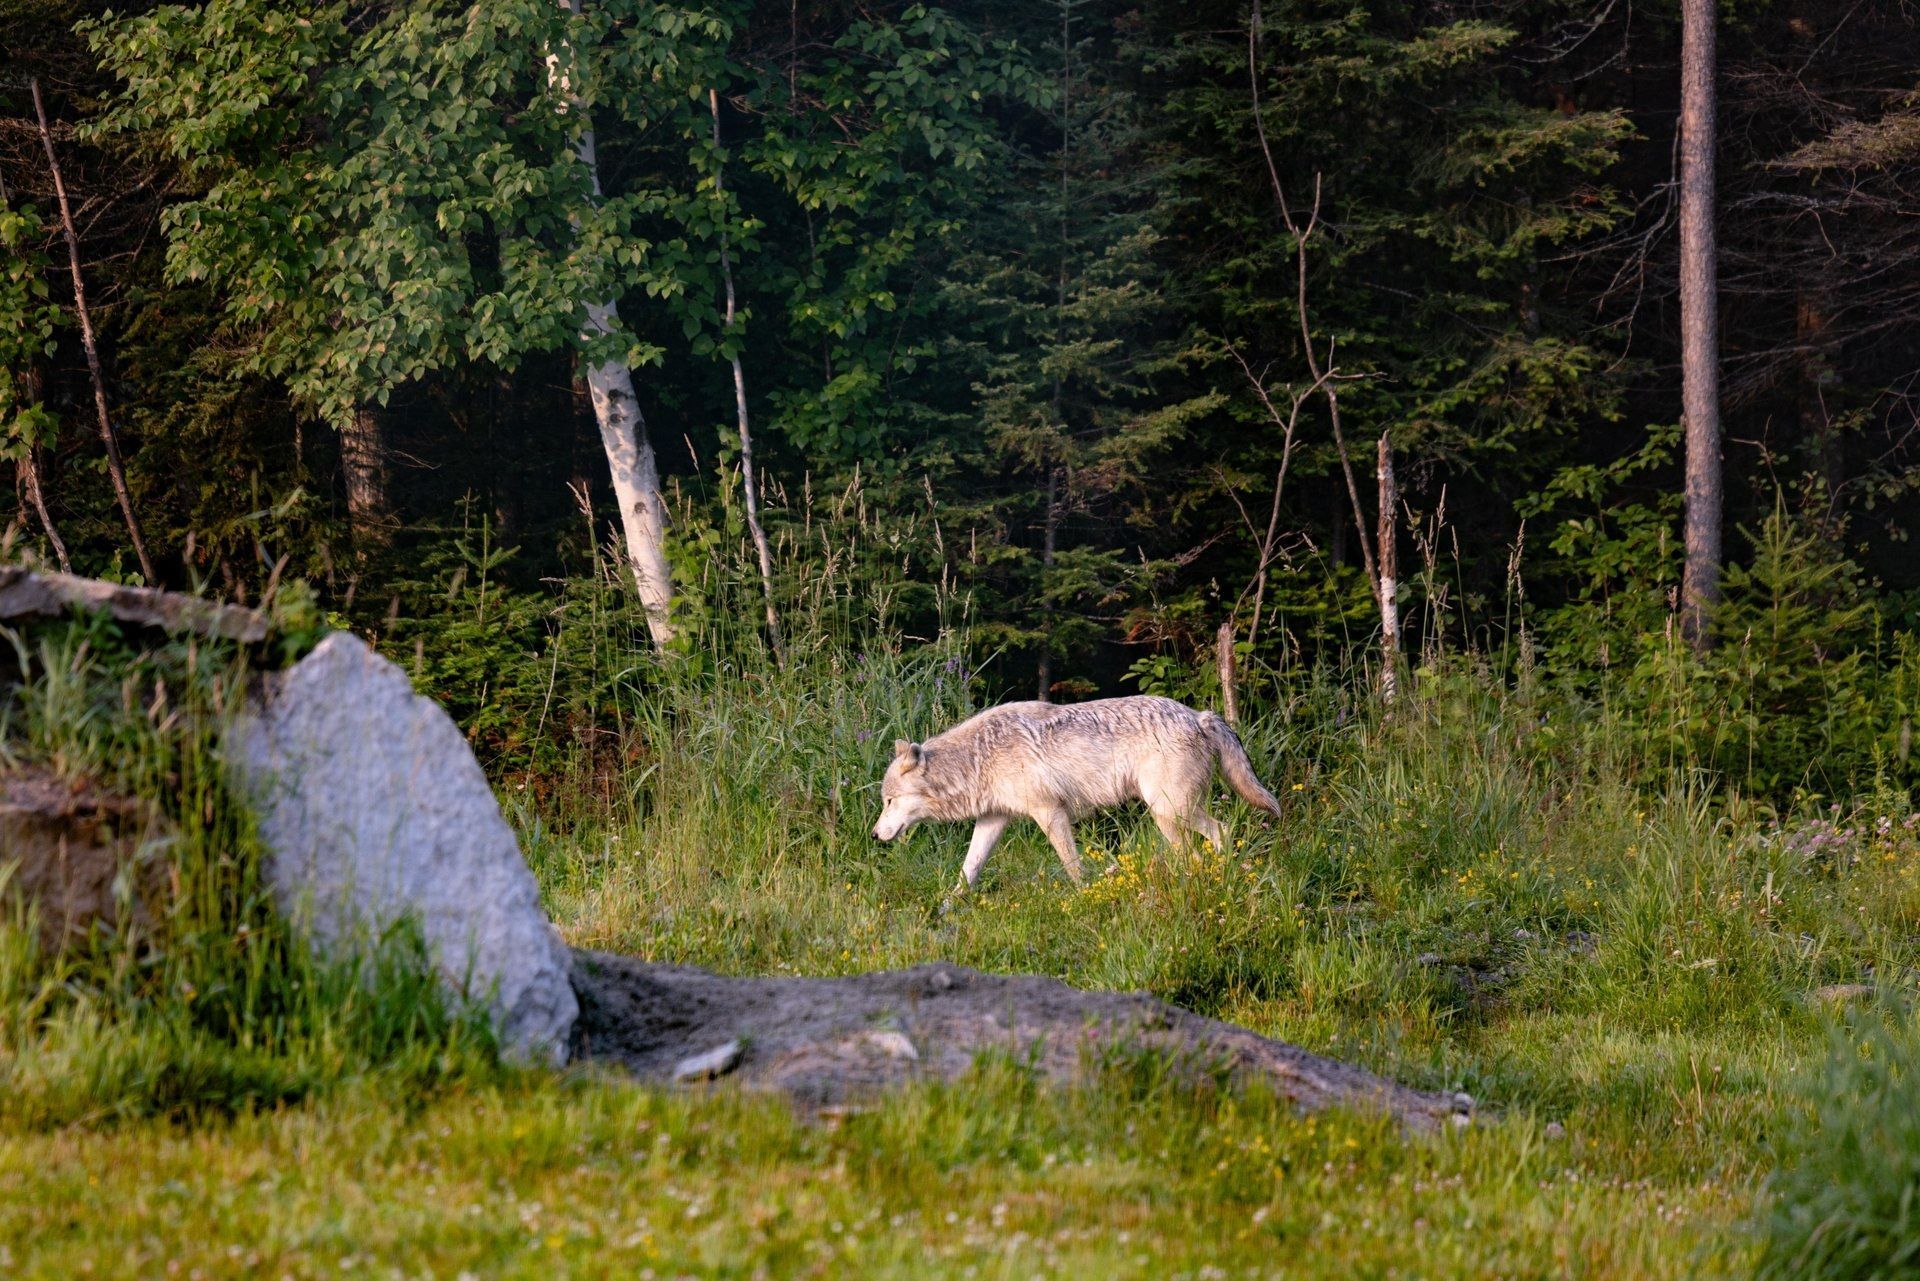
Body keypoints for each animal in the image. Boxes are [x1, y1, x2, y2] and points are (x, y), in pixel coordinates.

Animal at [870, 695, 1283, 890]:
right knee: (1219, 835)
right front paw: (948, 907)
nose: (874, 835)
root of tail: (1199, 716)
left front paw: (1084, 894)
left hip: (1168, 813)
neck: (979, 759)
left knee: (1206, 844)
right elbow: (967, 870)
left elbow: (1071, 864)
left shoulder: (1049, 812)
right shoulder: (993, 819)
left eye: (889, 801)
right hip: (1171, 814)